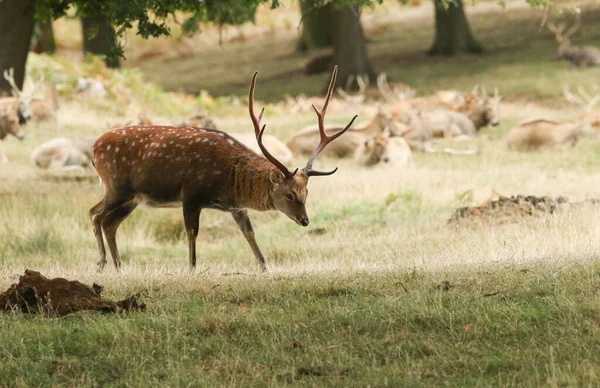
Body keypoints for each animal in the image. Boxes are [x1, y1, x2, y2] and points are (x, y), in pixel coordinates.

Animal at [86, 66, 354, 272]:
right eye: (289, 194)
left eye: (306, 193)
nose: (305, 220)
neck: (229, 180)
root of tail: (94, 148)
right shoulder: (191, 194)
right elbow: (192, 233)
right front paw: (192, 269)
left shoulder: (235, 207)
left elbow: (249, 233)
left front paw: (264, 267)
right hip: (117, 186)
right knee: (95, 214)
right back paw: (101, 263)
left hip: (133, 198)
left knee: (110, 223)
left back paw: (118, 267)